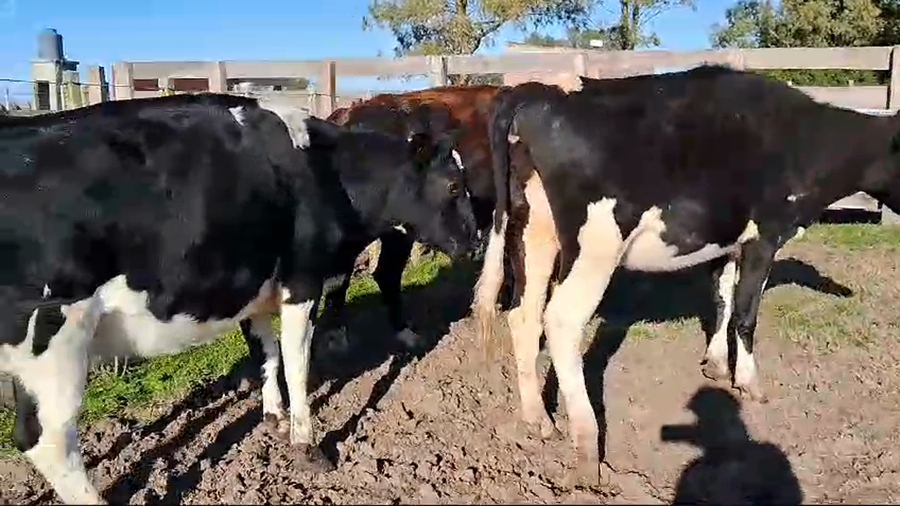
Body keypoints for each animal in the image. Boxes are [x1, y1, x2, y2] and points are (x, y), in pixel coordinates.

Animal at [0, 92, 478, 504]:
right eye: (455, 186)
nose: (474, 241)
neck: (327, 173)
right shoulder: (302, 281)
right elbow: (297, 364)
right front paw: (306, 444)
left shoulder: (256, 285)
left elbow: (267, 354)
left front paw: (273, 417)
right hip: (55, 340)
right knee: (45, 440)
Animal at [471, 65, 900, 486]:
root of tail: (540, 89)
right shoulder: (764, 236)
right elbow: (745, 314)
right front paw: (748, 382)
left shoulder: (728, 243)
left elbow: (722, 300)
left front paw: (716, 364)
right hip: (596, 242)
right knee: (561, 321)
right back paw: (588, 449)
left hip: (533, 230)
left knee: (524, 315)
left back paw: (539, 420)